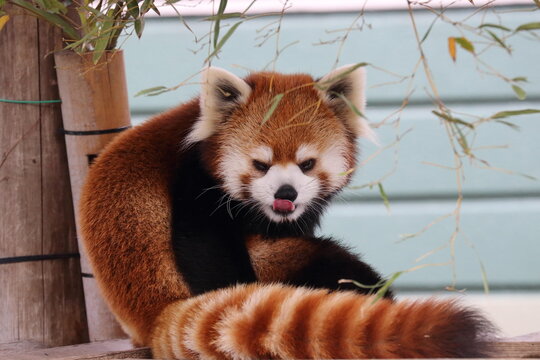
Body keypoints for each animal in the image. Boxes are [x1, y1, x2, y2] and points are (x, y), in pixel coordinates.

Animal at [79, 65, 494, 358]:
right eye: (260, 165)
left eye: (307, 164)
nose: (286, 193)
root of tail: (152, 315)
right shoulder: (194, 182)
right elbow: (206, 246)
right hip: (272, 260)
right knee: (331, 261)